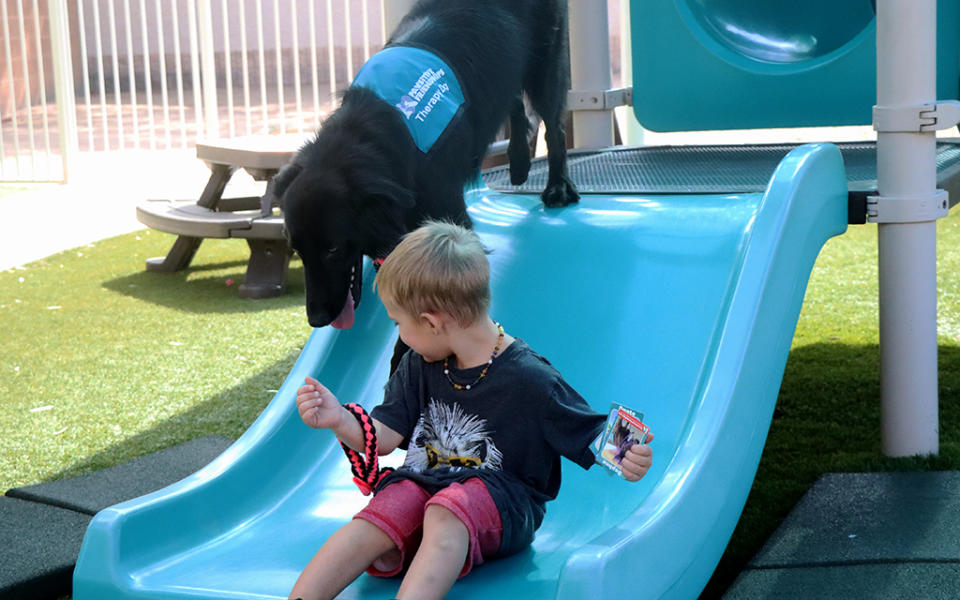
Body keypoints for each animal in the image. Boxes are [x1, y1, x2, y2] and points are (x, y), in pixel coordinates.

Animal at [276, 0, 576, 350]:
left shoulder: (451, 215)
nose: (317, 319)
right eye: (297, 250)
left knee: (553, 124)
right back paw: (518, 163)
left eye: (333, 248)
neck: (369, 136)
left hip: (546, 63)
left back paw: (558, 188)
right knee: (513, 100)